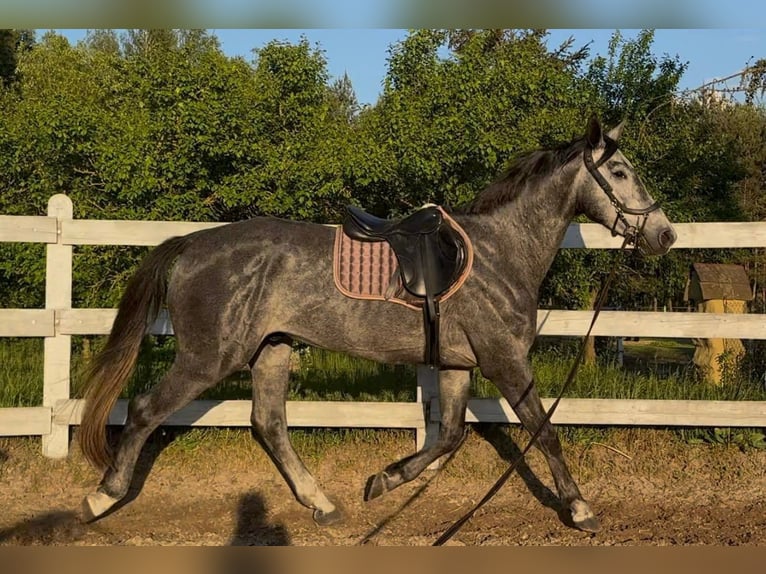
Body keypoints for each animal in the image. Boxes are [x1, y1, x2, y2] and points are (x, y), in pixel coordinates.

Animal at [77, 116, 677, 534]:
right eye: (620, 173)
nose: (664, 235)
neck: (500, 252)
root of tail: (190, 244)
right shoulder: (505, 361)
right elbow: (543, 431)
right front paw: (580, 508)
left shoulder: (457, 366)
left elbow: (449, 435)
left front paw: (383, 482)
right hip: (209, 357)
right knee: (146, 410)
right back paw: (99, 497)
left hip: (272, 349)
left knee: (268, 424)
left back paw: (322, 504)